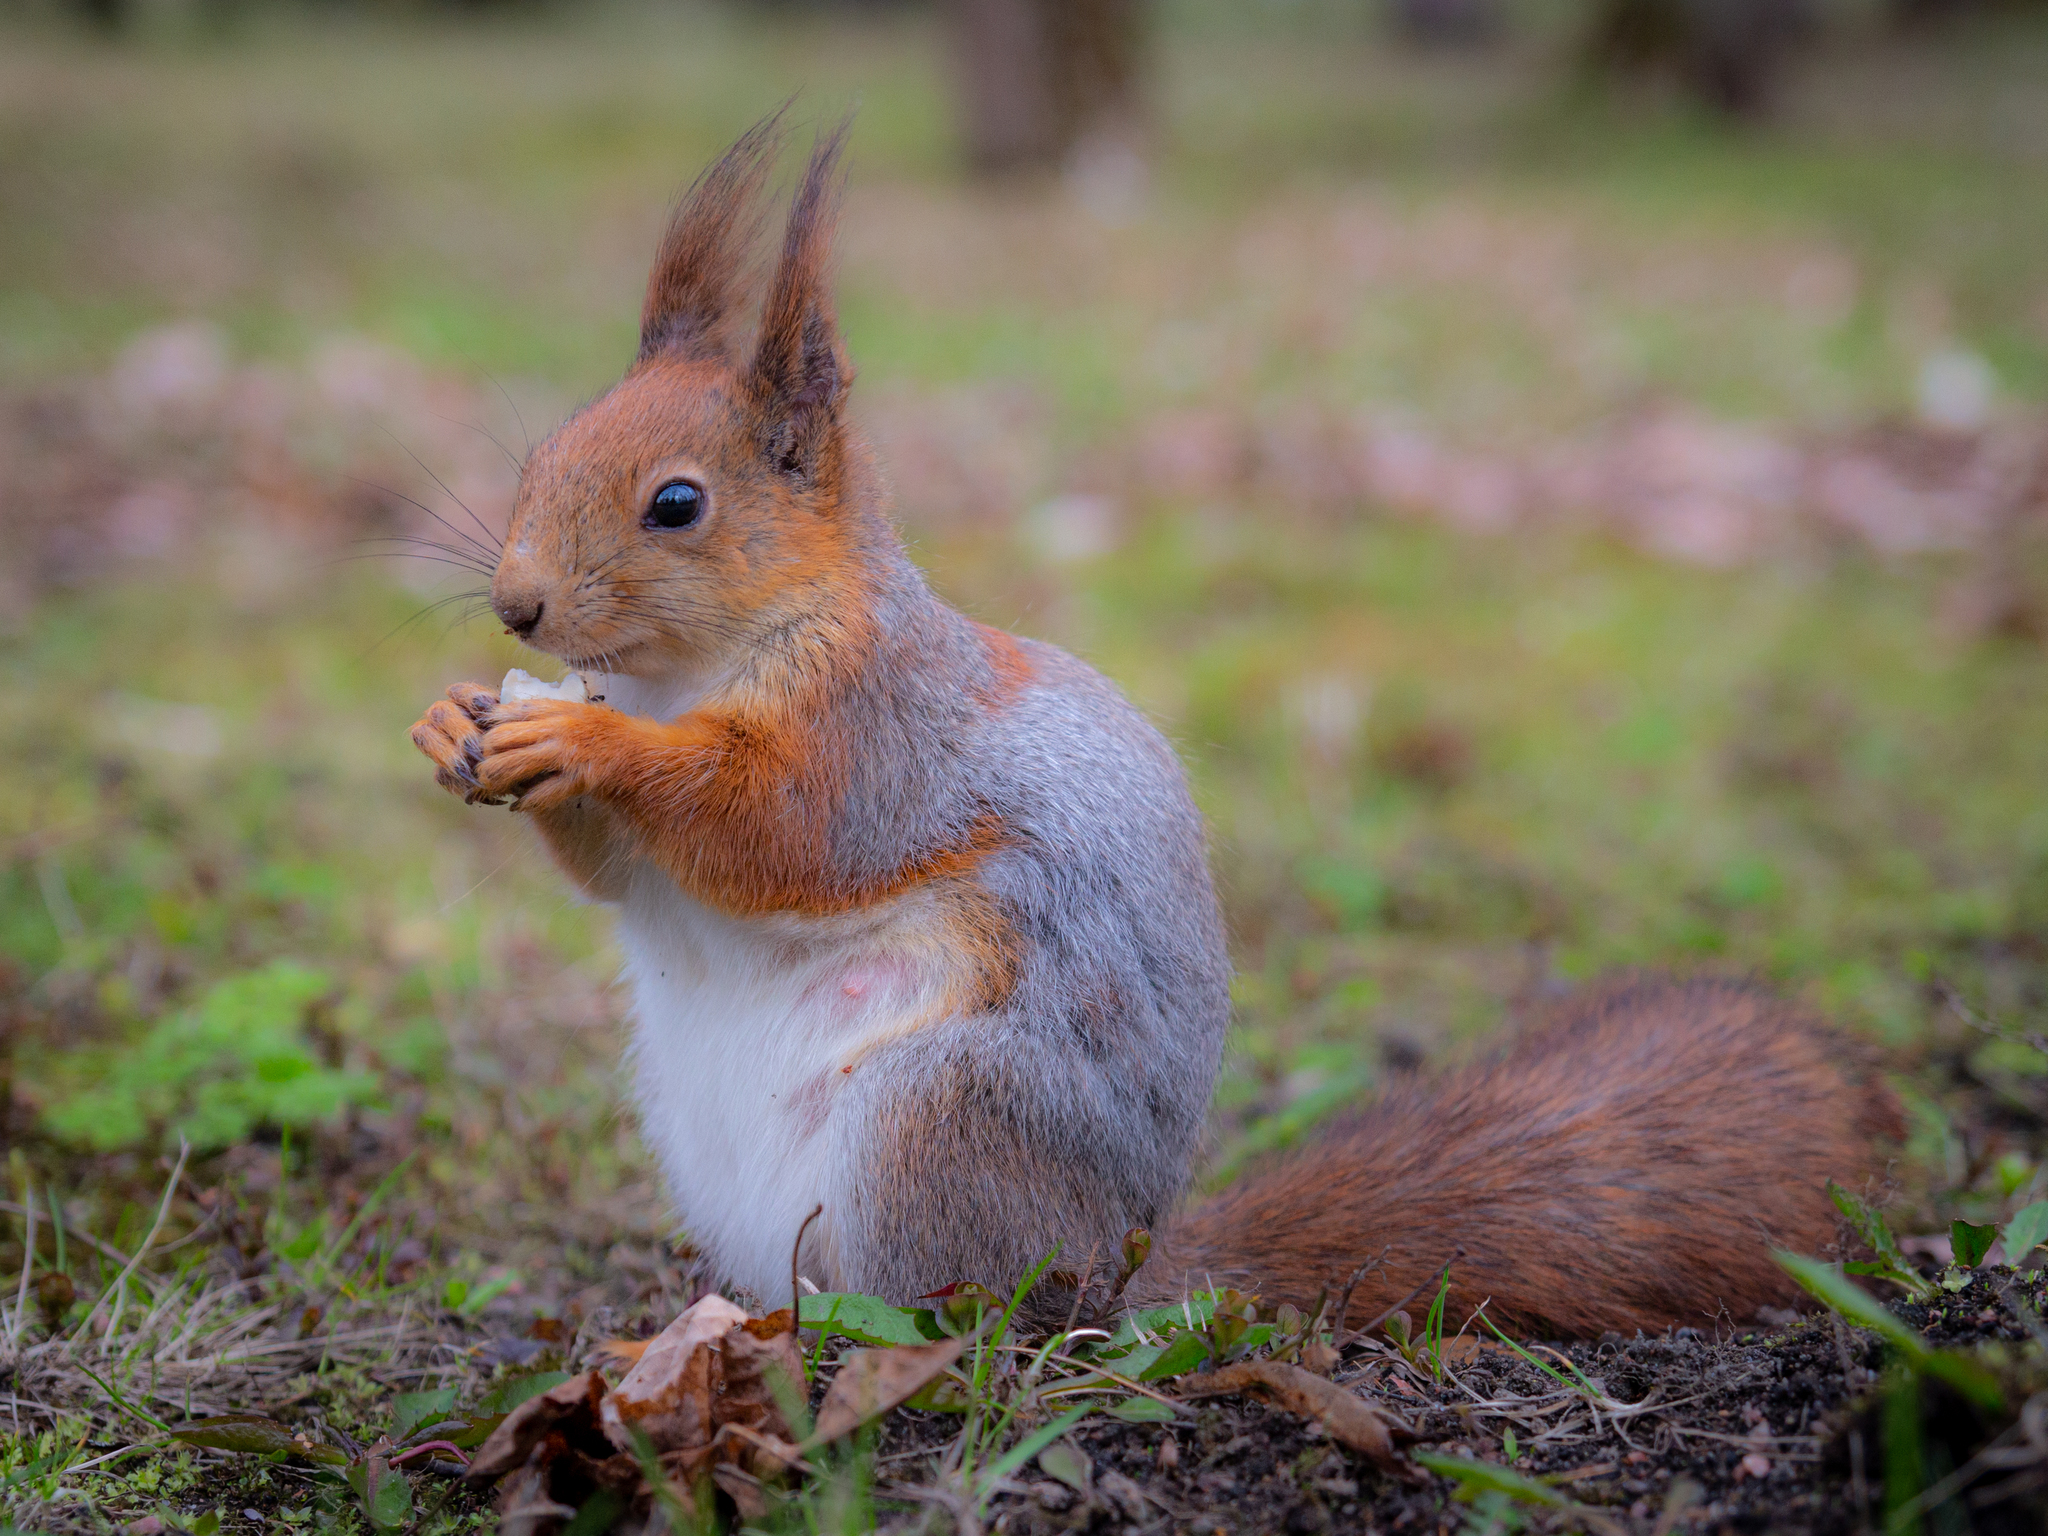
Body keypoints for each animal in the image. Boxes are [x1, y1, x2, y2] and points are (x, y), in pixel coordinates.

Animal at [415, 120, 1900, 1343]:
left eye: (677, 504)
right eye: (546, 449)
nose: (517, 605)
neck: (682, 677)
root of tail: (1120, 1270)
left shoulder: (881, 726)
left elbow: (778, 827)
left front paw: (590, 751)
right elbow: (625, 873)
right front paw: (456, 723)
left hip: (940, 1122)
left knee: (952, 1306)